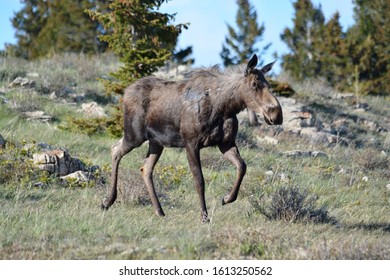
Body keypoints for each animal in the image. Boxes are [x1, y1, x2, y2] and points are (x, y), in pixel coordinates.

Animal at [102, 53, 282, 222]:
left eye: (268, 84)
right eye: (254, 84)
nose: (276, 114)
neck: (225, 108)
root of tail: (125, 92)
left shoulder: (226, 143)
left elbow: (242, 166)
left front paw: (227, 198)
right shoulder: (191, 143)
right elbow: (199, 180)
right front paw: (204, 216)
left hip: (156, 142)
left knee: (145, 168)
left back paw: (159, 211)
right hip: (134, 135)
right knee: (115, 150)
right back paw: (108, 201)